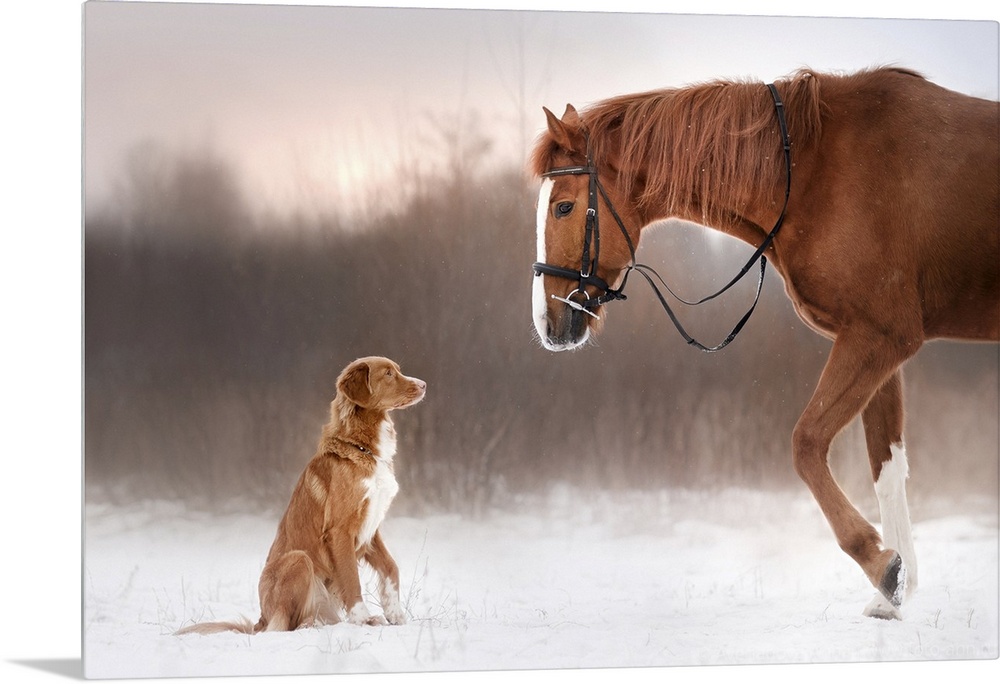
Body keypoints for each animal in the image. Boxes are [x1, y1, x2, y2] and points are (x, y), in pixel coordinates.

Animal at [176, 358, 426, 636]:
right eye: (389, 374)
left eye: (397, 370)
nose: (424, 384)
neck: (362, 448)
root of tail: (261, 619)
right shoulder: (340, 530)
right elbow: (352, 578)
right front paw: (363, 619)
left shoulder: (370, 529)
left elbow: (391, 567)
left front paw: (395, 612)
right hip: (299, 559)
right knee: (285, 626)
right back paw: (310, 624)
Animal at [528, 65, 996, 620]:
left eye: (563, 207)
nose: (549, 323)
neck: (814, 169)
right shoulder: (882, 349)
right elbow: (886, 465)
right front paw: (893, 592)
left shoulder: (879, 337)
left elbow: (806, 443)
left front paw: (881, 563)